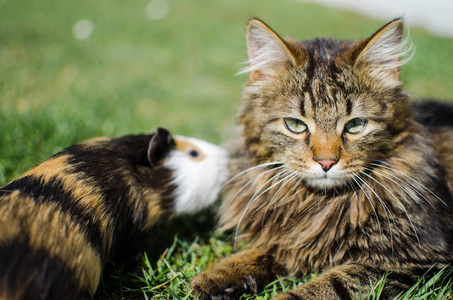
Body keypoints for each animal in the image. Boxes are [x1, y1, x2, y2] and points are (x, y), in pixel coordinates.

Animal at [190, 18, 452, 298]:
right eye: (295, 125)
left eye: (356, 125)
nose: (326, 162)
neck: (317, 202)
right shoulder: (285, 240)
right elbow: (261, 251)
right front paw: (216, 276)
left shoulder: (413, 259)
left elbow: (326, 286)